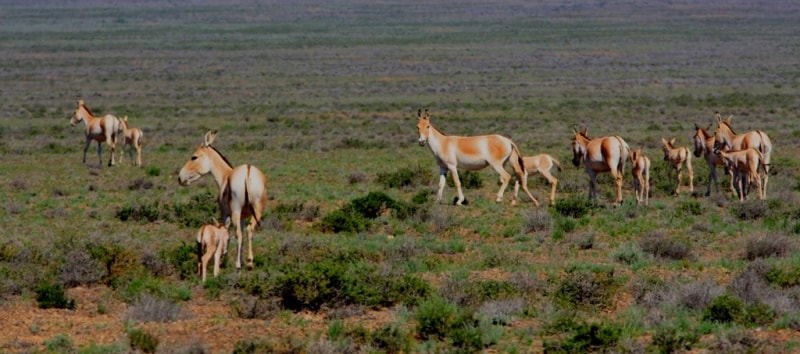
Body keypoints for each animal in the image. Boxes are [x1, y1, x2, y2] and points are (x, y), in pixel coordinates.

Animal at [179, 131, 268, 270]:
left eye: (194, 157)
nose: (180, 178)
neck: (226, 175)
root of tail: (247, 170)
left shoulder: (225, 213)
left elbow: (226, 233)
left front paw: (223, 260)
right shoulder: (243, 217)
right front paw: (240, 259)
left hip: (236, 211)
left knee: (238, 233)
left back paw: (238, 265)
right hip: (257, 211)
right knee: (249, 230)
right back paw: (249, 262)